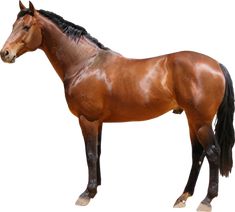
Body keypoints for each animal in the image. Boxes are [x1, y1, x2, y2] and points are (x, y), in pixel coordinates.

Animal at [0, 2, 233, 212]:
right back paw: (183, 197)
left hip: (201, 122)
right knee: (197, 155)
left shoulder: (87, 120)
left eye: (26, 27)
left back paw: (206, 200)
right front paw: (96, 189)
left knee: (212, 153)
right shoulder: (98, 121)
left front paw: (87, 193)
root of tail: (216, 65)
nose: (5, 53)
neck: (85, 64)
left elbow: (90, 154)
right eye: (13, 25)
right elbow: (98, 152)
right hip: (193, 120)